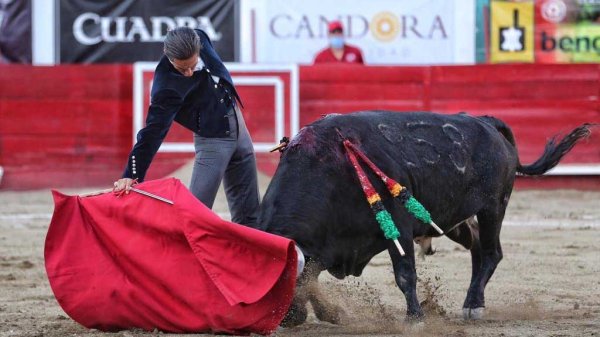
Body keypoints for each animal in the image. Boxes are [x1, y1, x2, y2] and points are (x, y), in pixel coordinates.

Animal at [255, 111, 592, 326]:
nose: (286, 320)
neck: (327, 170)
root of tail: (486, 122)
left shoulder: (398, 225)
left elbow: (405, 274)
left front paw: (415, 318)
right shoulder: (329, 245)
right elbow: (313, 274)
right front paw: (333, 314)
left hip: (494, 206)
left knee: (492, 252)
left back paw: (473, 306)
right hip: (450, 218)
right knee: (477, 247)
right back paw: (472, 301)